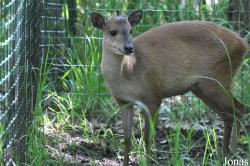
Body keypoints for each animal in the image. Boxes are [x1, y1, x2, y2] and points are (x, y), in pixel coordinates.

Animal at [91, 9, 249, 165]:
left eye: (130, 30)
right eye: (112, 32)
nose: (129, 48)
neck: (128, 73)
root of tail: (243, 44)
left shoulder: (153, 97)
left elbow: (148, 137)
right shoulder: (124, 103)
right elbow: (127, 138)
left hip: (218, 79)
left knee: (239, 109)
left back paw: (232, 154)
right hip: (201, 87)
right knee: (229, 114)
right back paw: (226, 155)